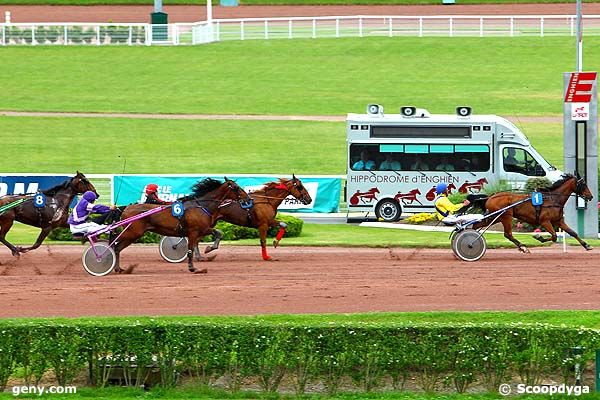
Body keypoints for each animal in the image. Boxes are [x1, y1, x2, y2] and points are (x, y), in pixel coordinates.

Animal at [112, 177, 248, 274]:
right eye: (236, 187)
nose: (248, 198)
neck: (202, 206)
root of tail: (125, 208)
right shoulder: (194, 231)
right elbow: (191, 249)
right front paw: (194, 267)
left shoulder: (202, 230)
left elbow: (218, 233)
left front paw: (208, 250)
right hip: (132, 232)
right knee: (114, 245)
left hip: (132, 234)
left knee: (117, 248)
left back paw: (119, 269)